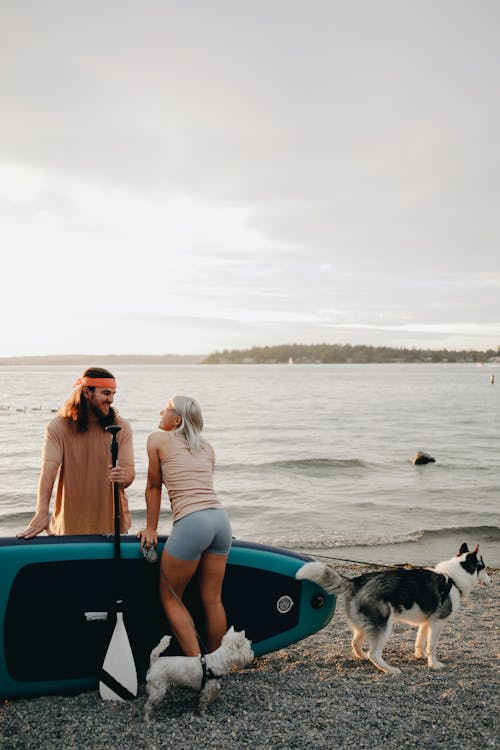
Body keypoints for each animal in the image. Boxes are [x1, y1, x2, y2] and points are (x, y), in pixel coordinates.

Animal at [296, 540, 492, 676]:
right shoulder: (437, 624)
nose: (491, 581)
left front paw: (419, 655)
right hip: (384, 626)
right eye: (483, 568)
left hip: (365, 626)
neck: (453, 578)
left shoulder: (426, 623)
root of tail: (356, 581)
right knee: (375, 653)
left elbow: (420, 641)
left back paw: (363, 657)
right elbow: (432, 646)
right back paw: (389, 669)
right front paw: (433, 663)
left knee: (355, 643)